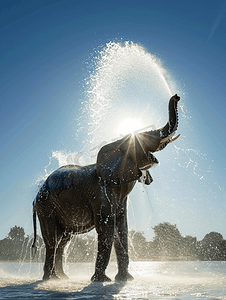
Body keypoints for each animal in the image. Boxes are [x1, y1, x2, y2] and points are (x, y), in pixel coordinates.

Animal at [32, 93, 180, 282]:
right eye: (142, 139)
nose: (177, 96)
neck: (115, 144)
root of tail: (35, 196)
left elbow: (121, 228)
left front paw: (125, 280)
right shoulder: (102, 192)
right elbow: (107, 228)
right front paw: (101, 280)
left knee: (63, 241)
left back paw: (62, 278)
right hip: (46, 207)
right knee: (53, 240)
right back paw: (50, 279)